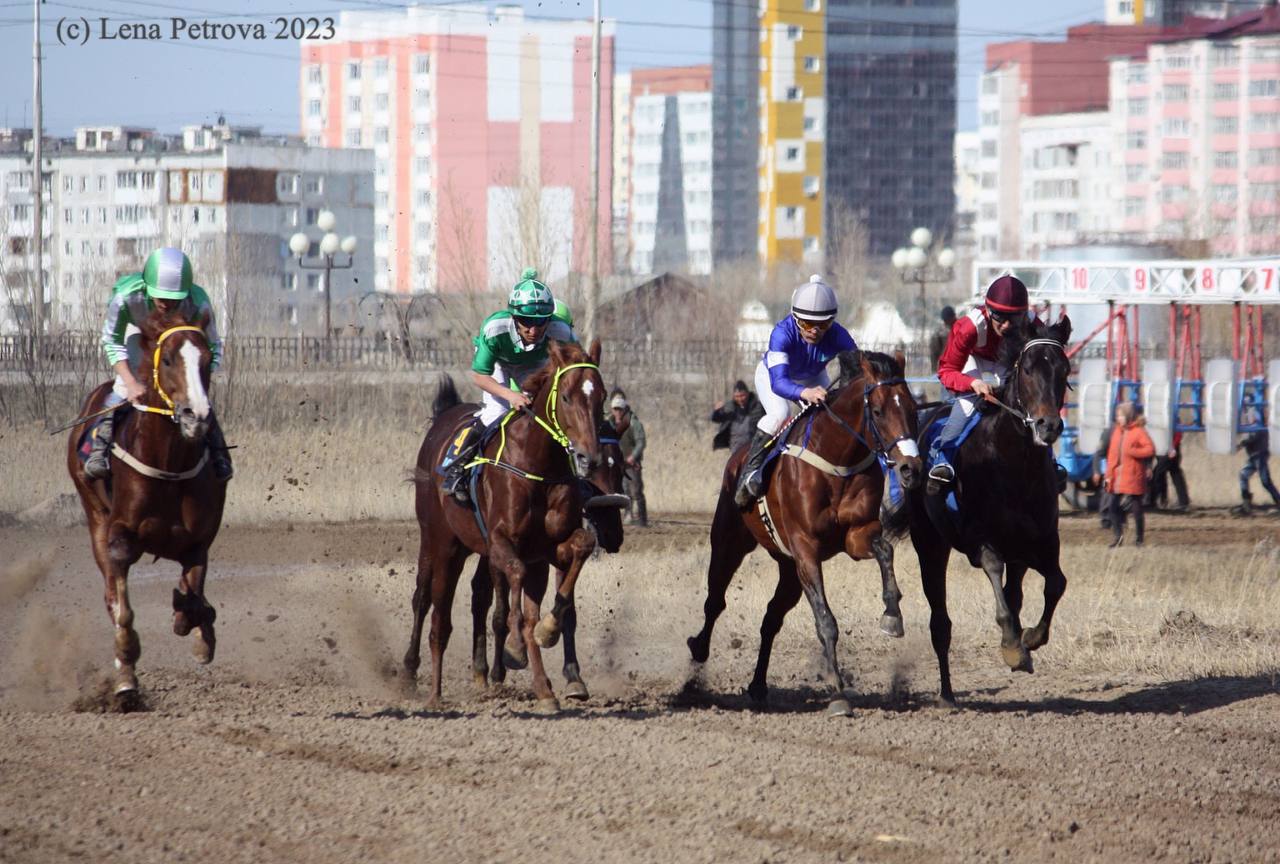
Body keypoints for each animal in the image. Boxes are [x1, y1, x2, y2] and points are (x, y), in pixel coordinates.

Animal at [66, 307, 226, 706]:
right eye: (167, 359)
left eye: (206, 359)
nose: (197, 415)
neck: (169, 463)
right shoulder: (121, 537)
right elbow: (123, 610)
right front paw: (126, 675)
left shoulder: (197, 541)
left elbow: (194, 601)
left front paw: (198, 633)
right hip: (94, 517)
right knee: (110, 594)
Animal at [409, 337, 609, 711]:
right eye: (566, 397)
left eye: (601, 397)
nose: (589, 459)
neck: (537, 463)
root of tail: (444, 417)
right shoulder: (502, 541)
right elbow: (515, 576)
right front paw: (515, 648)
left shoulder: (546, 549)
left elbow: (580, 548)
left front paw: (547, 633)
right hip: (439, 542)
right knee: (431, 608)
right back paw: (425, 688)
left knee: (475, 597)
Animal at [686, 350, 926, 716]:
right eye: (878, 411)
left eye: (913, 409)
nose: (911, 469)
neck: (838, 460)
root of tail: (737, 456)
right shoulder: (806, 549)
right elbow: (825, 621)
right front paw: (838, 693)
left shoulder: (855, 535)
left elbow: (884, 549)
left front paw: (892, 615)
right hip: (730, 544)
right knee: (715, 601)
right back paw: (697, 657)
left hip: (788, 569)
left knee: (771, 618)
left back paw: (758, 685)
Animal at [890, 314, 1070, 706]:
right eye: (1028, 369)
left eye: (1064, 369)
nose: (1049, 426)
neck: (1014, 465)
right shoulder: (979, 538)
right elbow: (994, 572)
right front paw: (1013, 648)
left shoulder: (1043, 540)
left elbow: (1056, 584)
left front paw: (1029, 638)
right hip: (930, 544)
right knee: (940, 623)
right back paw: (946, 693)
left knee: (1016, 592)